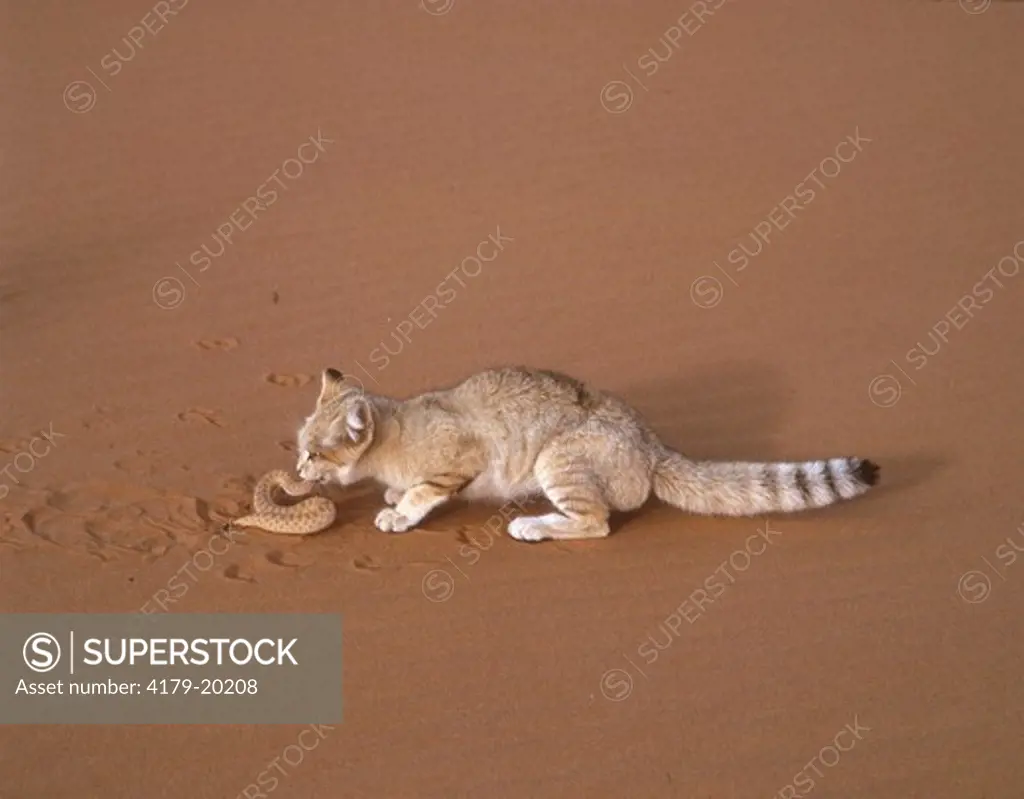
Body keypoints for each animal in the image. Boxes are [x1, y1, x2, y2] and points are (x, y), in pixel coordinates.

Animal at [296, 366, 880, 544]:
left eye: (313, 454)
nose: (297, 469)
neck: (393, 427)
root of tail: (652, 445)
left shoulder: (459, 463)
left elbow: (423, 492)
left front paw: (398, 512)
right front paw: (392, 496)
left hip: (559, 461)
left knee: (596, 523)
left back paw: (534, 526)